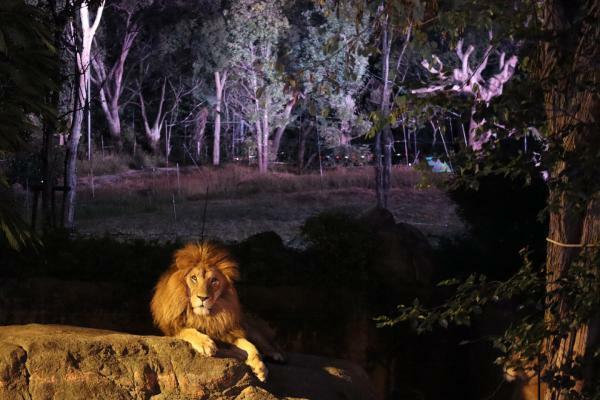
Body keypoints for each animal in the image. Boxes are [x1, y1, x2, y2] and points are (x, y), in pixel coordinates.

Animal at [149, 241, 282, 382]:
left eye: (214, 281)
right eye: (194, 278)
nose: (203, 298)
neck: (203, 317)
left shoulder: (227, 333)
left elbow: (252, 347)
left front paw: (260, 368)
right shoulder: (172, 330)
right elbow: (188, 331)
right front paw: (206, 344)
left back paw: (275, 354)